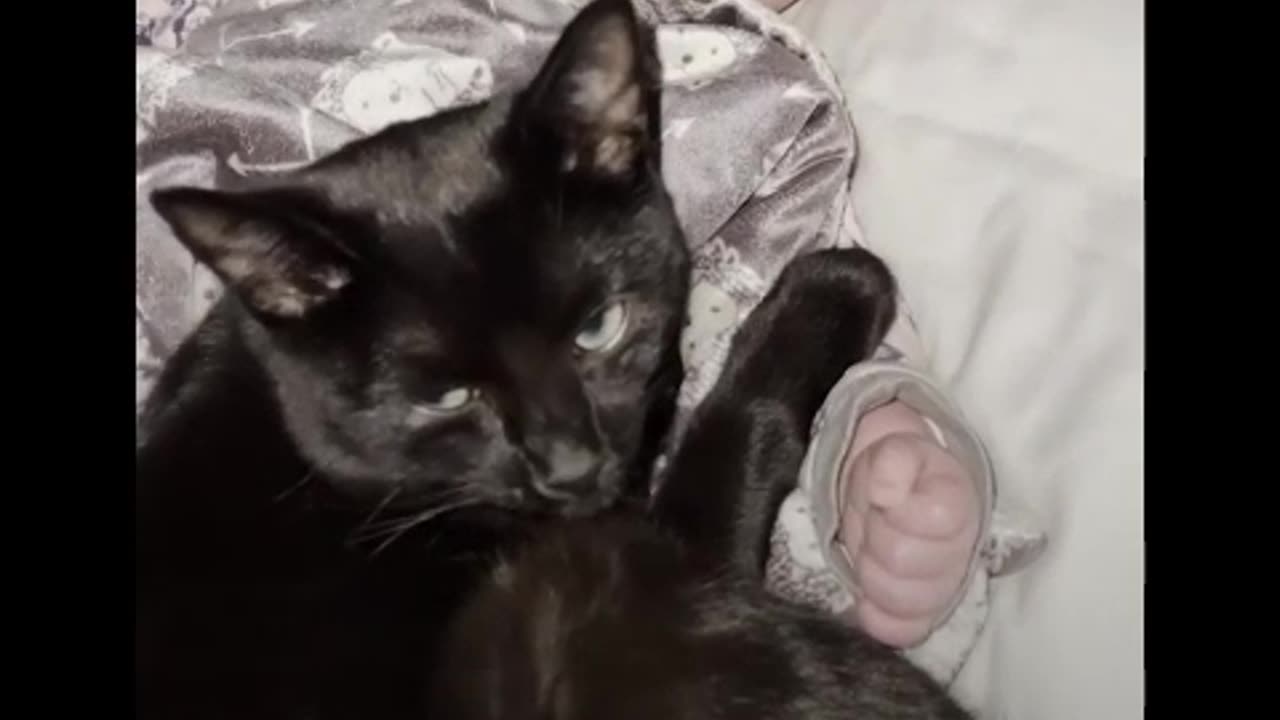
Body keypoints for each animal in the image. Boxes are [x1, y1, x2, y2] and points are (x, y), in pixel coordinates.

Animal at [137, 0, 967, 712]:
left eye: (598, 327)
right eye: (446, 397)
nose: (570, 467)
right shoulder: (666, 555)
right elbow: (736, 434)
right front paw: (834, 286)